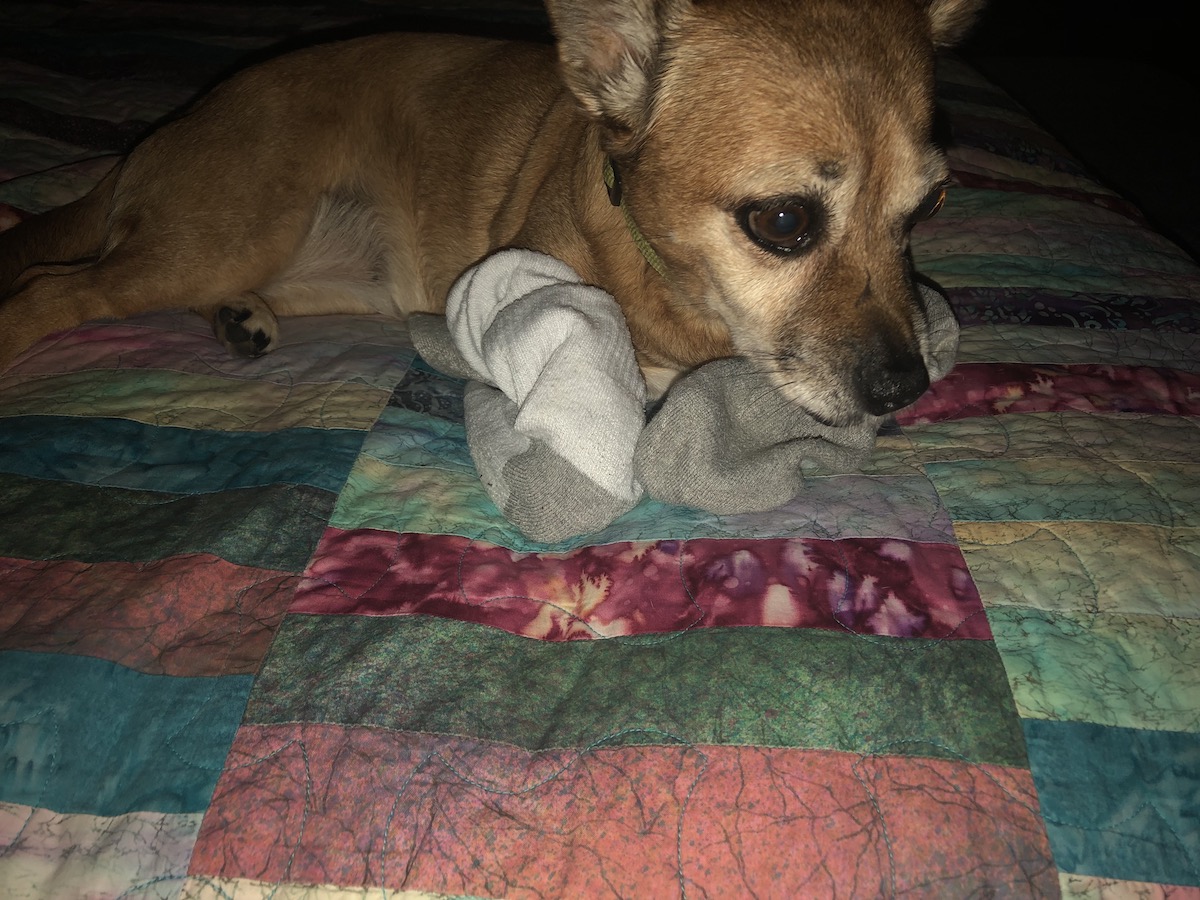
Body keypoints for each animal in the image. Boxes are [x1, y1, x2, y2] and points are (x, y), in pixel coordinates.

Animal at [0, 0, 979, 427]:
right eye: (783, 224)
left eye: (930, 202)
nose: (908, 390)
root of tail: (168, 130)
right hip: (224, 234)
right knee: (49, 289)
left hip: (335, 274)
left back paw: (243, 319)